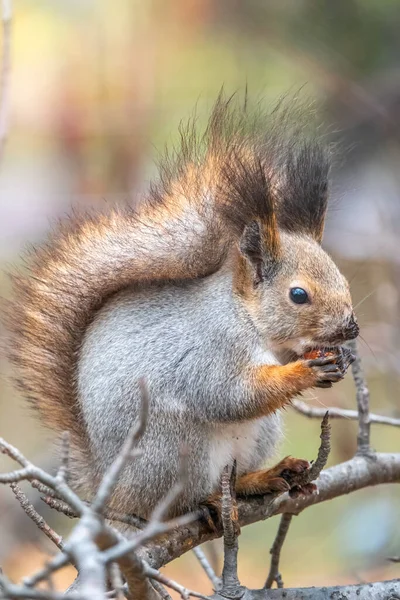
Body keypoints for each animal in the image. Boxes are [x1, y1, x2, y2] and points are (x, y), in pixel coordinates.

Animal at [6, 96, 360, 516]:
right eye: (299, 295)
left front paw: (339, 359)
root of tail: (111, 489)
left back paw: (265, 477)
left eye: (344, 280)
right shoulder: (211, 348)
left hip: (261, 433)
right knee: (177, 499)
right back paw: (210, 500)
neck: (249, 320)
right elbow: (229, 395)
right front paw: (303, 372)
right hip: (173, 445)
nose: (351, 328)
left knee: (235, 473)